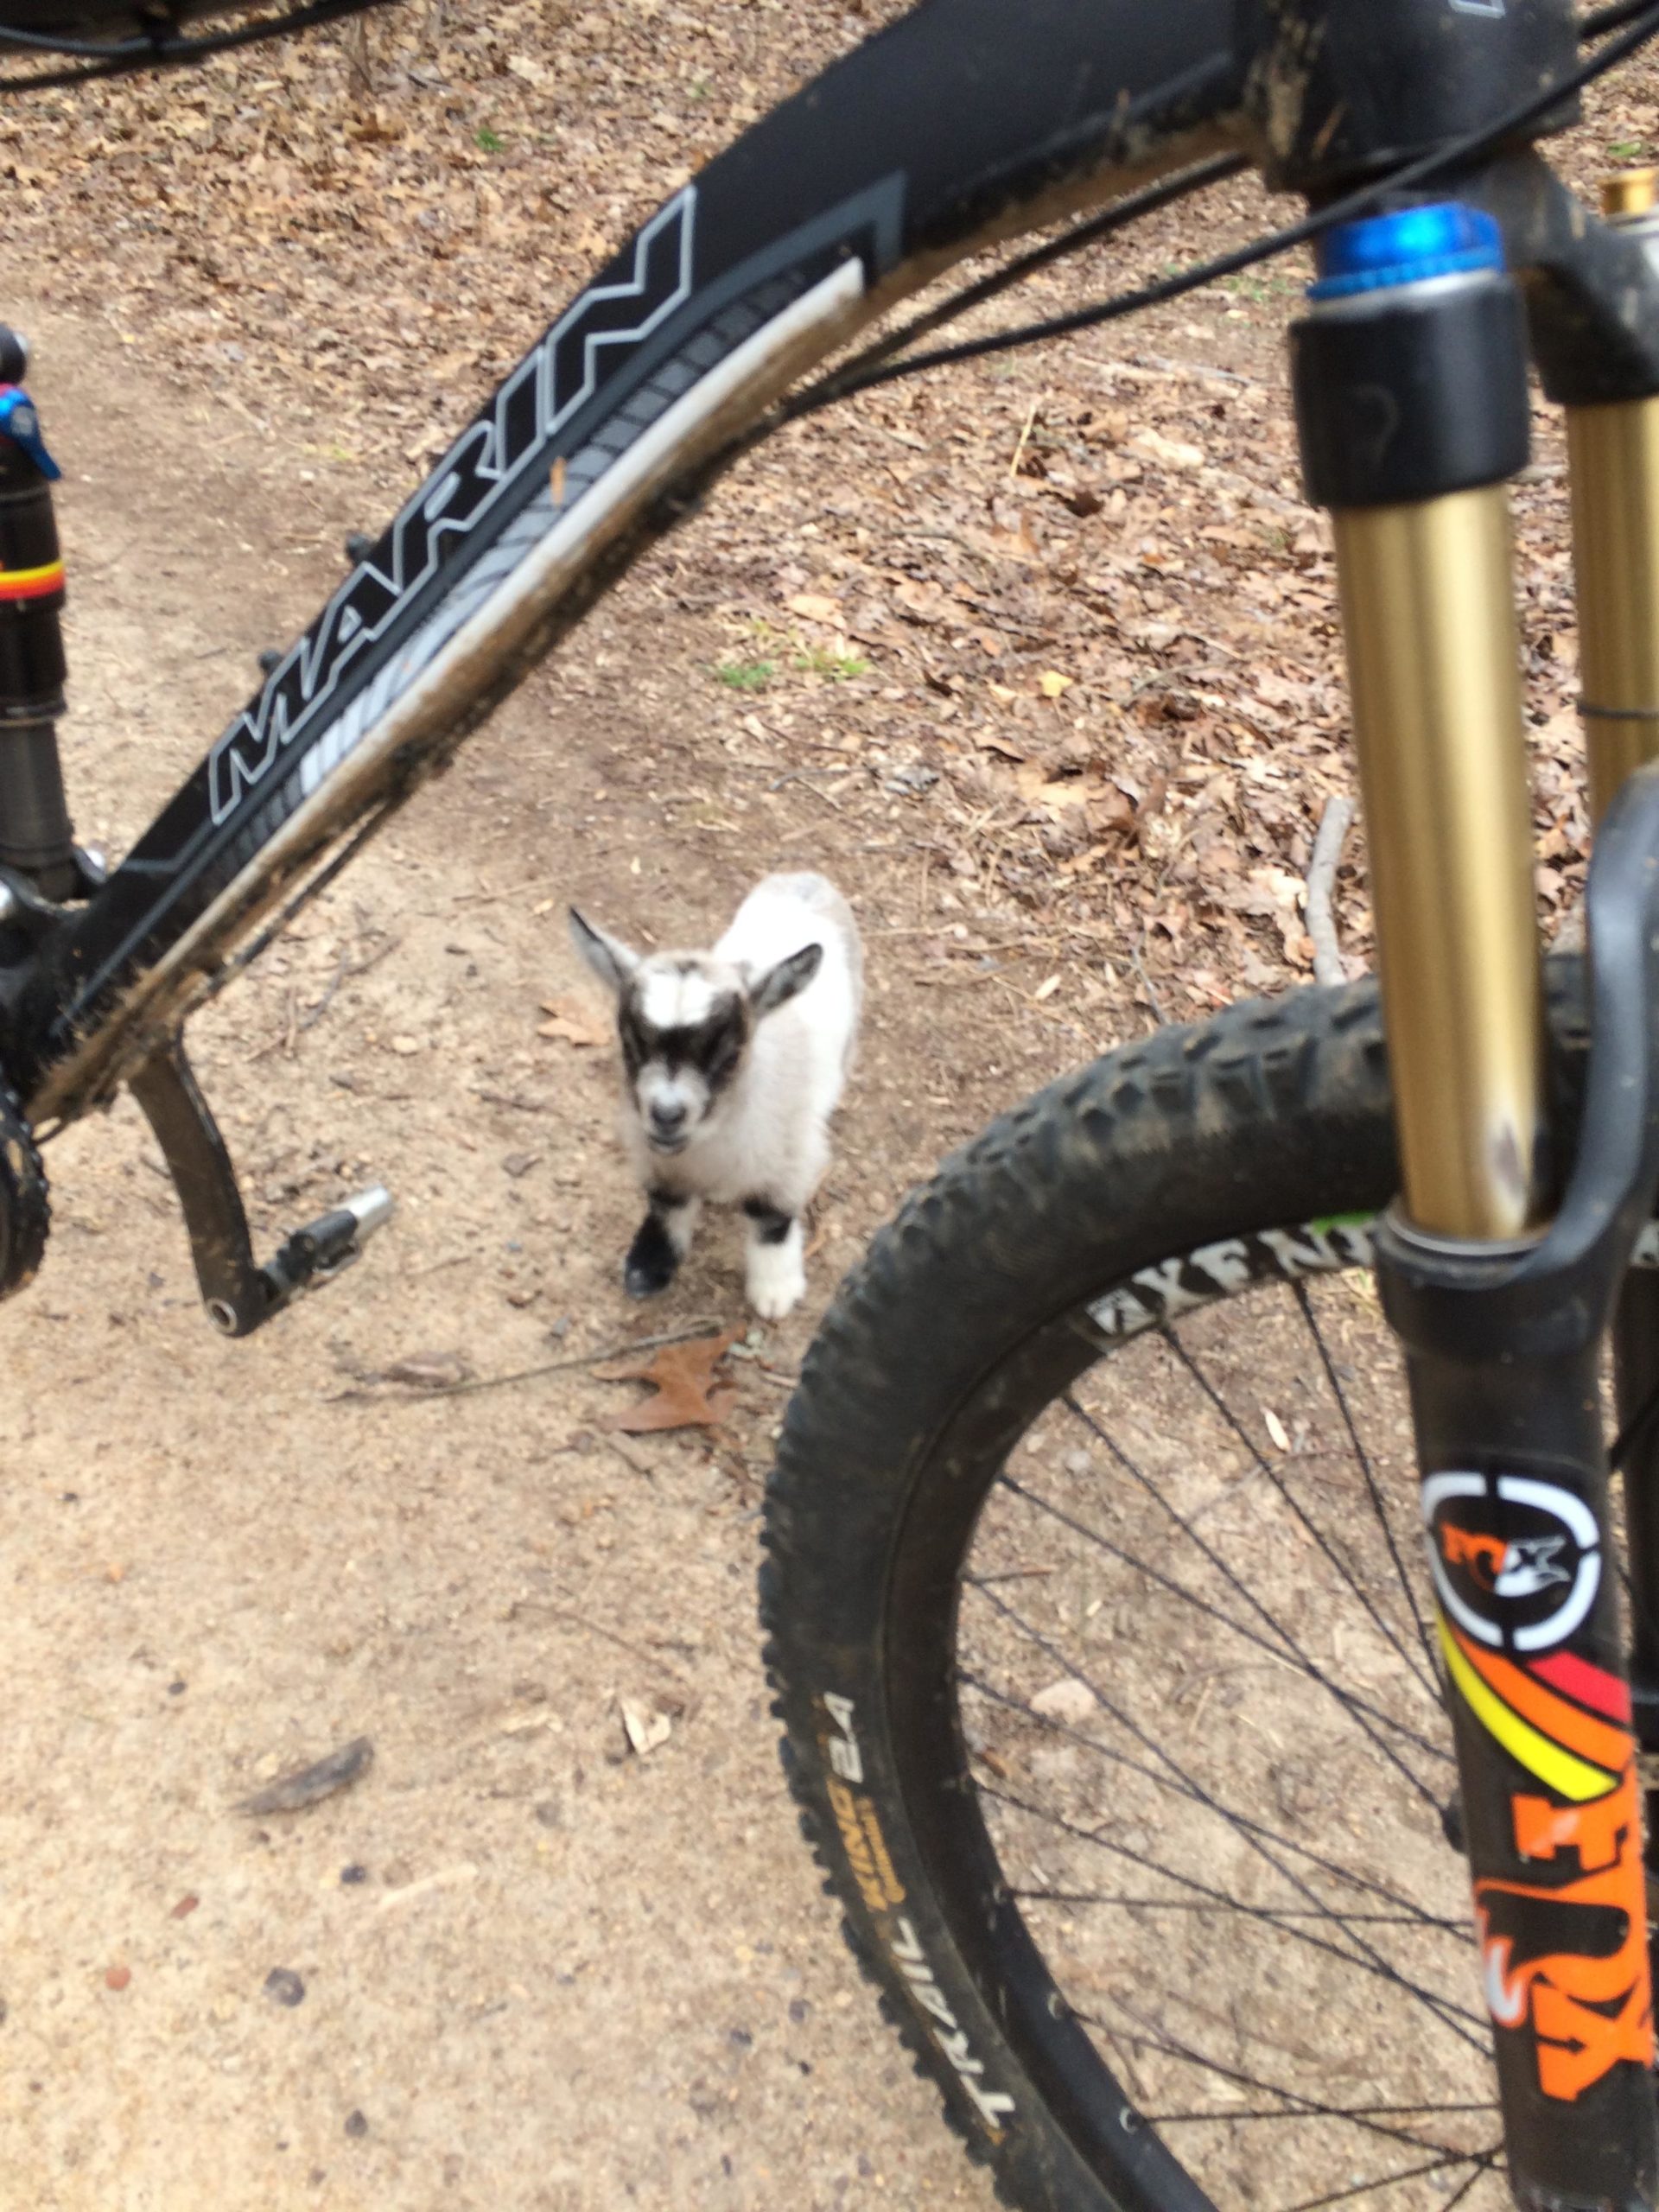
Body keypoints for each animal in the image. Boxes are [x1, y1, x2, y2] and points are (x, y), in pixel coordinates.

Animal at [569, 871, 862, 1320]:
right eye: (631, 1044)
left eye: (729, 1053)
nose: (666, 1114)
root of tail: (807, 881)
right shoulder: (658, 1160)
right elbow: (667, 1207)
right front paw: (646, 1269)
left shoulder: (788, 1162)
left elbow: (772, 1221)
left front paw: (774, 1291)